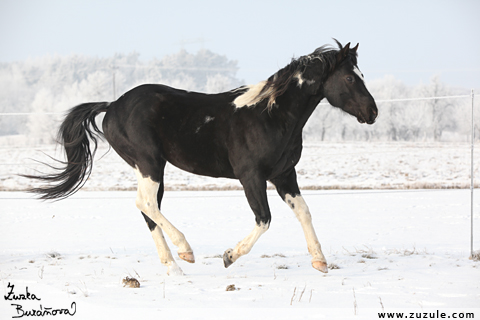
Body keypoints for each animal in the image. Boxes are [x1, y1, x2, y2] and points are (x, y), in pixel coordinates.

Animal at [24, 40, 378, 276]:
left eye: (360, 74)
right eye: (350, 78)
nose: (373, 112)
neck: (271, 114)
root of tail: (112, 106)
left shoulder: (284, 175)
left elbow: (304, 212)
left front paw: (320, 261)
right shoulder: (251, 176)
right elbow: (264, 218)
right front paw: (229, 256)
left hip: (149, 168)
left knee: (147, 209)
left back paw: (174, 267)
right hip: (150, 163)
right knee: (146, 203)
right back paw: (186, 251)